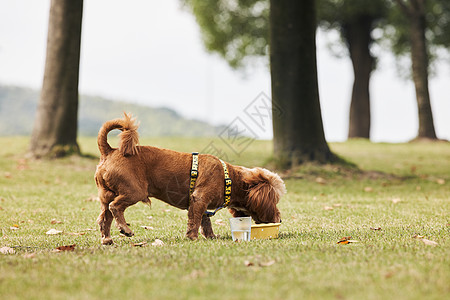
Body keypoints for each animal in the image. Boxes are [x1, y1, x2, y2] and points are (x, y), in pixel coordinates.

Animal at [95, 113, 286, 245]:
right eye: (275, 200)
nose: (280, 220)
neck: (230, 179)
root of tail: (110, 151)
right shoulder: (199, 199)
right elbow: (195, 221)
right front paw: (193, 237)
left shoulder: (202, 204)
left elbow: (205, 221)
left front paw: (211, 236)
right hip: (135, 191)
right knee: (115, 207)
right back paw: (125, 229)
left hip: (106, 195)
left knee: (104, 217)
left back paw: (107, 239)